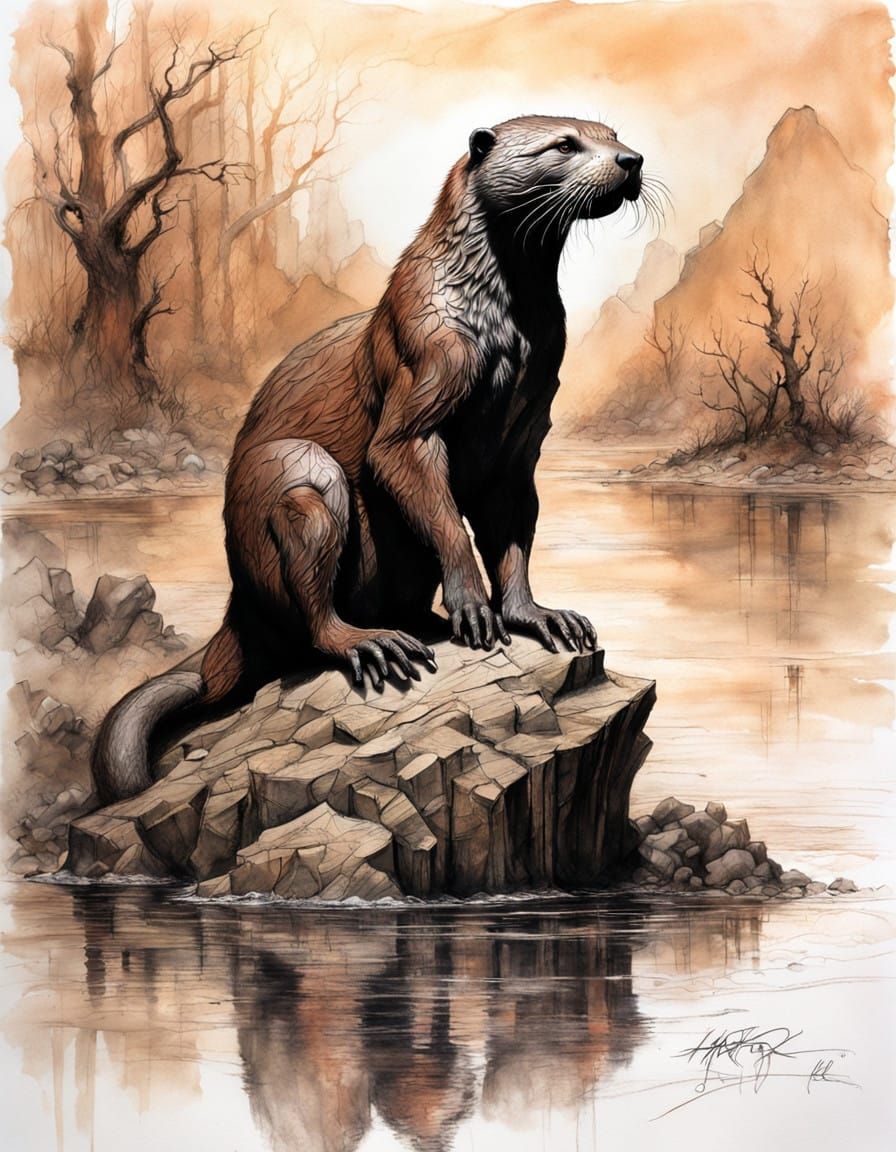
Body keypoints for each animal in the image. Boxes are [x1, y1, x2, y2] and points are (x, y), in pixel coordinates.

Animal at [92, 114, 644, 803]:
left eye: (612, 133)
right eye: (565, 143)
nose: (632, 160)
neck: (498, 328)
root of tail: (236, 610)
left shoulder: (523, 439)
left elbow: (512, 532)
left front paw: (538, 616)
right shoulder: (423, 355)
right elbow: (413, 475)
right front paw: (472, 607)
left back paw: (420, 625)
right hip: (296, 477)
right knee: (313, 606)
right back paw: (374, 644)